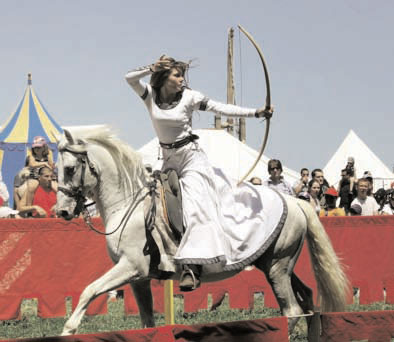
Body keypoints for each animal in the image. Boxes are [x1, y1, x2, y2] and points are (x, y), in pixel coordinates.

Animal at [54, 126, 348, 336]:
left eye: (69, 168)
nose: (62, 212)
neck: (131, 205)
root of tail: (295, 202)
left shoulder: (130, 267)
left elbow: (89, 291)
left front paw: (68, 330)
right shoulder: (139, 279)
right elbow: (147, 323)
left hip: (277, 268)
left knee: (292, 311)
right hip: (277, 265)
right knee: (307, 299)